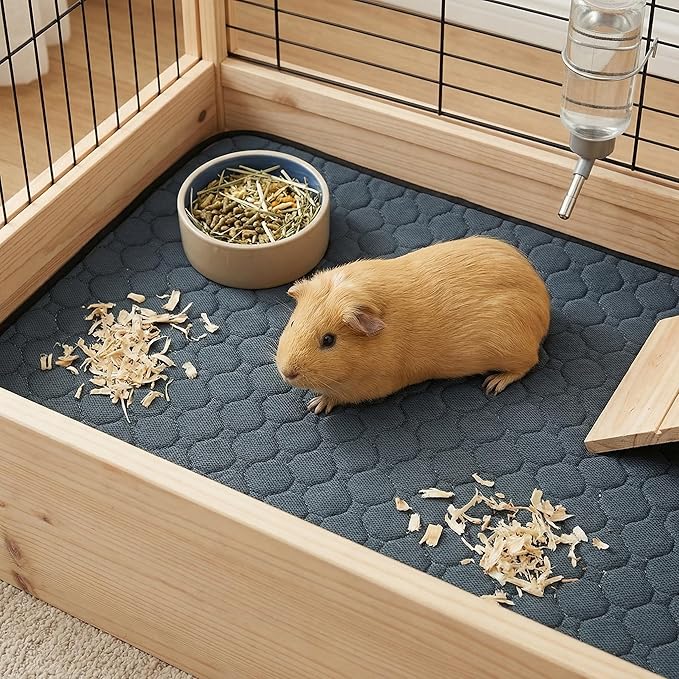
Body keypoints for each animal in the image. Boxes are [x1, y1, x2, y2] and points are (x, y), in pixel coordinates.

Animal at [275, 236, 550, 414]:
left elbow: (338, 395)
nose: (287, 372)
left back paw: (493, 384)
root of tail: (543, 307)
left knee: (528, 364)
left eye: (328, 340)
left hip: (512, 352)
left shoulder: (371, 386)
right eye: (292, 323)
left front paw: (316, 405)